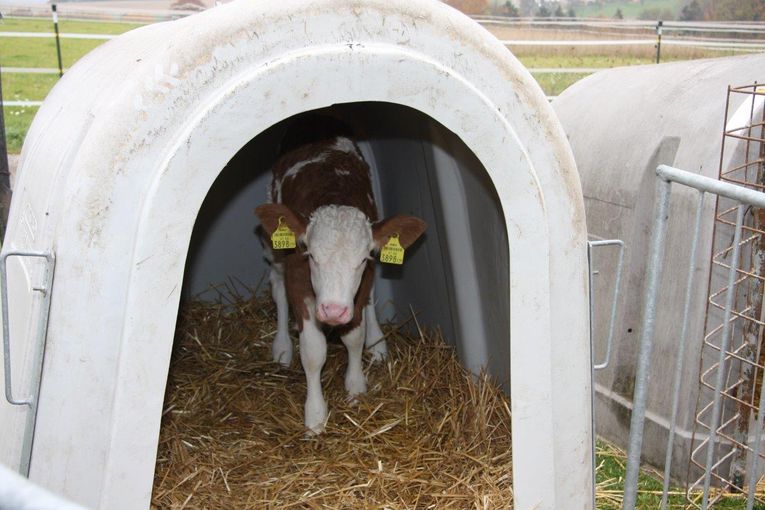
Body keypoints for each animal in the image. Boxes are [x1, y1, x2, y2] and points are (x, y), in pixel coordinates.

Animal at [255, 133, 424, 432]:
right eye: (312, 255)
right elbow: (313, 350)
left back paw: (377, 343)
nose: (333, 310)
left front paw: (356, 387)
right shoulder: (298, 279)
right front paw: (315, 415)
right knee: (277, 287)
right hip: (272, 243)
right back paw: (282, 346)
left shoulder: (364, 280)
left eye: (362, 259)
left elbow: (354, 336)